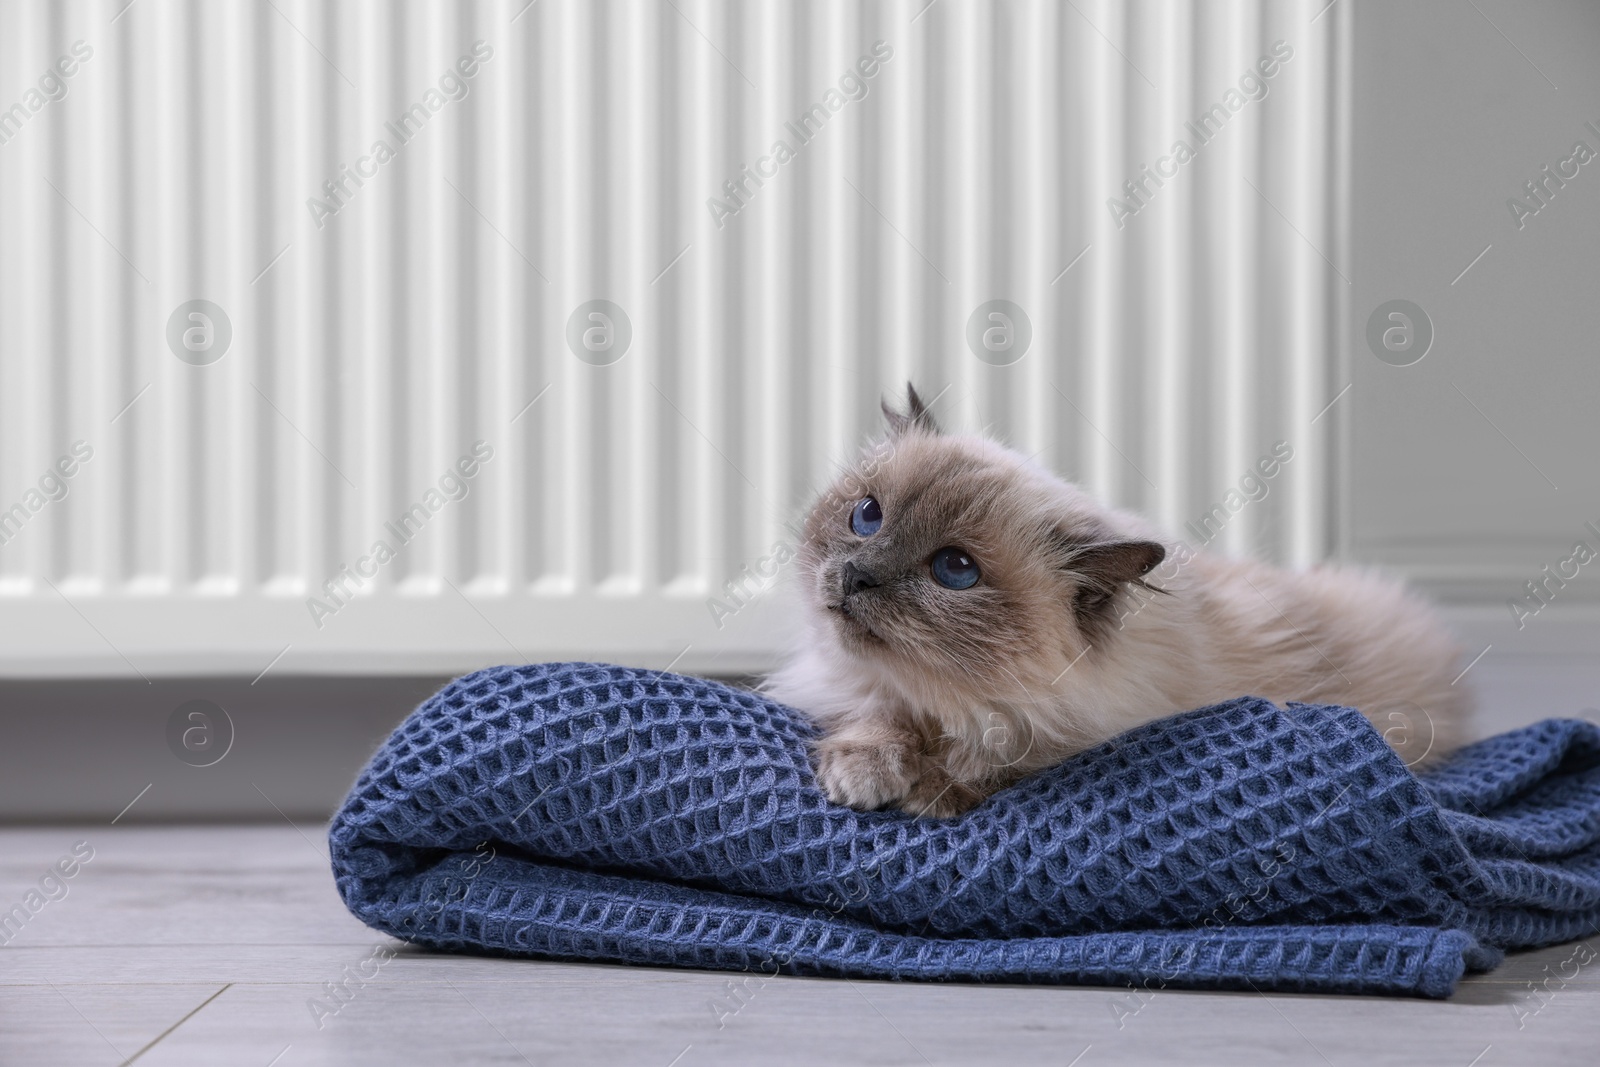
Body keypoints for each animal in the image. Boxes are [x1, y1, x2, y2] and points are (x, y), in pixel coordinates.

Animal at [768, 383, 1465, 819]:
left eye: (954, 570)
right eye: (867, 517)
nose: (856, 576)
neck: (948, 707)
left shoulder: (1064, 737)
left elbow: (993, 763)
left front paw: (925, 792)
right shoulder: (869, 689)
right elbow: (874, 716)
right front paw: (862, 774)